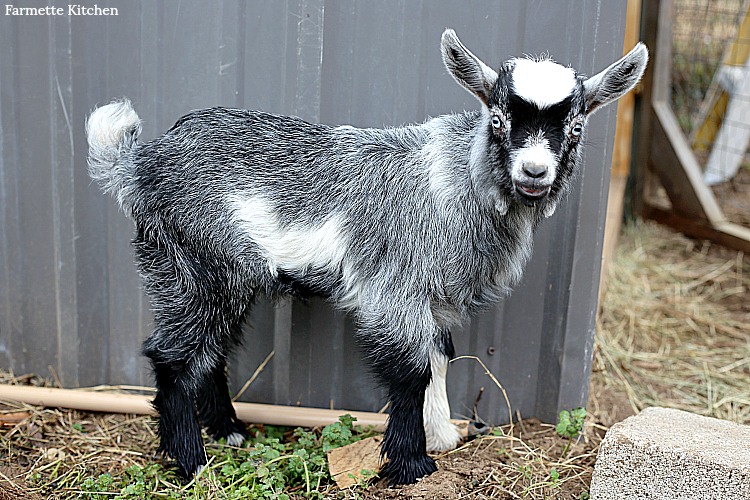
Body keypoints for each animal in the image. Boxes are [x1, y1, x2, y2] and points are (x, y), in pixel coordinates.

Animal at [86, 29, 648, 482]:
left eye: (575, 127)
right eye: (499, 118)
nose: (534, 171)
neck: (457, 183)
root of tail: (140, 164)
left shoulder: (433, 299)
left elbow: (439, 357)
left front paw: (442, 434)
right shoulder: (394, 291)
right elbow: (411, 373)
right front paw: (412, 464)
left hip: (220, 276)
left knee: (212, 351)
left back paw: (229, 430)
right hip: (194, 265)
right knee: (172, 357)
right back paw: (192, 462)